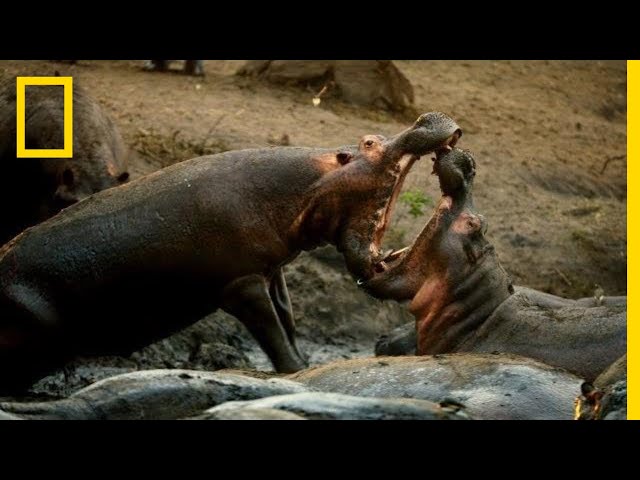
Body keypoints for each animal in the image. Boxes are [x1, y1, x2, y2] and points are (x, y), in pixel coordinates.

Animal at [0, 112, 461, 390]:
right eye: (368, 142)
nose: (423, 118)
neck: (306, 186)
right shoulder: (241, 284)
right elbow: (273, 334)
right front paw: (294, 371)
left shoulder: (272, 271)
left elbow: (288, 321)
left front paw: (305, 363)